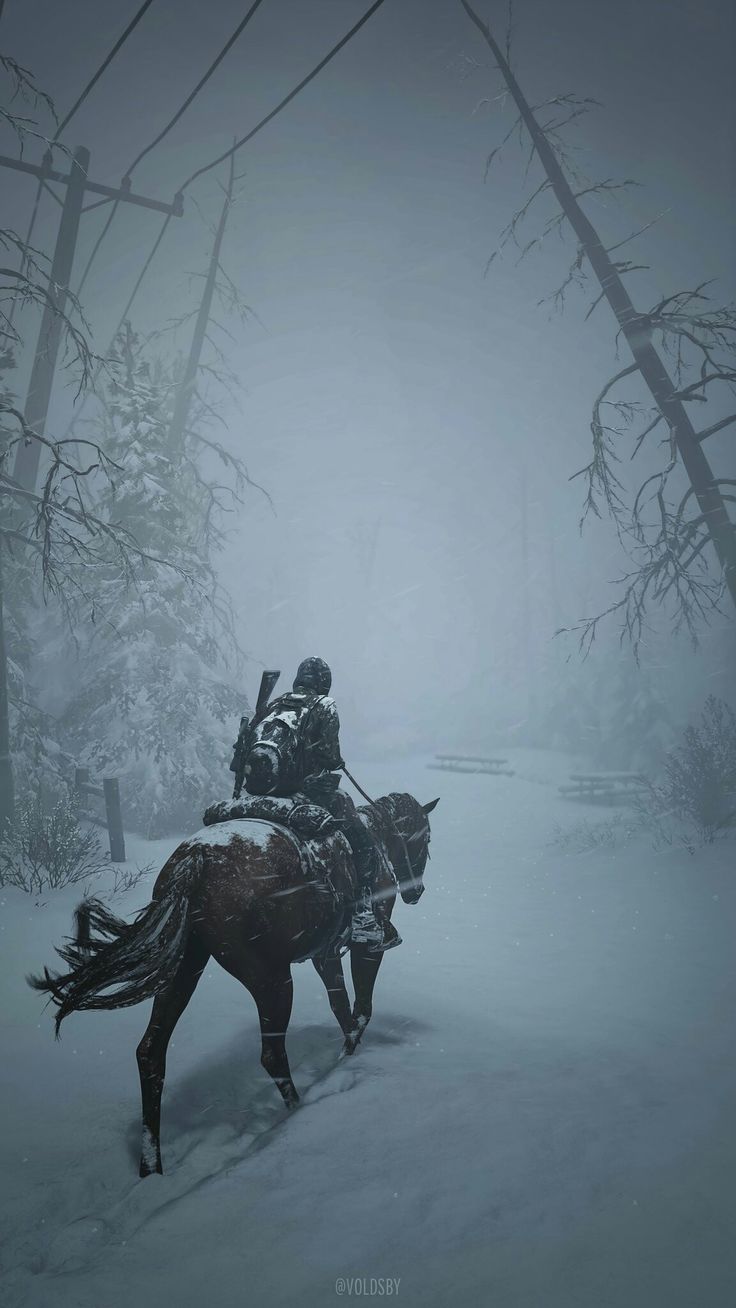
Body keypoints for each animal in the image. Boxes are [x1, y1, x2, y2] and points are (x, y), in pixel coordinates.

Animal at [31, 790, 436, 1182]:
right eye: (427, 837)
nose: (415, 891)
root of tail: (197, 859)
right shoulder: (365, 948)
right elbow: (362, 1007)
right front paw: (349, 1057)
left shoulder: (324, 954)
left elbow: (341, 1007)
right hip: (271, 979)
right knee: (271, 1054)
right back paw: (295, 1112)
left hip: (183, 970)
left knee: (150, 1053)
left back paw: (151, 1166)